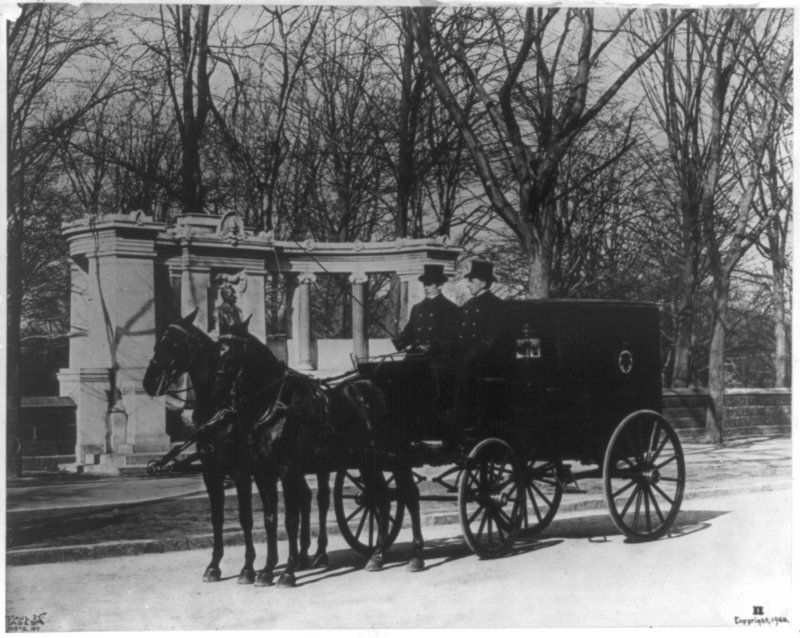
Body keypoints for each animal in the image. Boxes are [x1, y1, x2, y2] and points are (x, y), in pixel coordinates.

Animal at [142, 309, 329, 586]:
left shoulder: (242, 472)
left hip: (321, 466)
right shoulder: (212, 471)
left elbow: (247, 518)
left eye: (175, 344)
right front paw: (214, 566)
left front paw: (248, 568)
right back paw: (302, 556)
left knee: (322, 501)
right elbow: (218, 518)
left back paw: (320, 554)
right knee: (305, 499)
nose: (149, 381)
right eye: (159, 342)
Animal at [213, 318, 427, 586]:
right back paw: (377, 556)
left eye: (232, 350)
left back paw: (416, 556)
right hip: (369, 460)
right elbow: (270, 519)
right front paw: (266, 570)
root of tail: (378, 390)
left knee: (409, 495)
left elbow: (290, 520)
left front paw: (287, 571)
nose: (219, 386)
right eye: (218, 347)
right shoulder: (263, 472)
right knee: (383, 501)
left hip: (395, 457)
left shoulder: (287, 469)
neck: (277, 406)